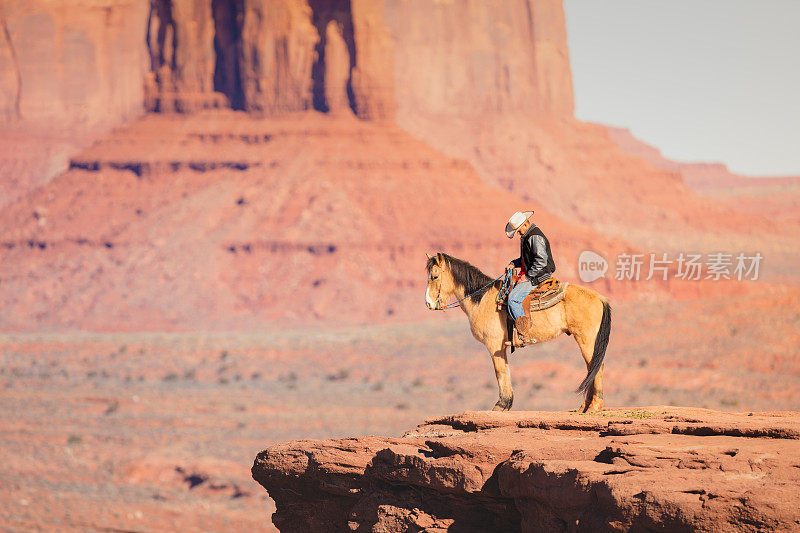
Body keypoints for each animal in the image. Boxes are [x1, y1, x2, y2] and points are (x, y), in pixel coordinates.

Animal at [428, 252, 608, 412]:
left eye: (435, 277)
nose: (429, 304)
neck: (482, 300)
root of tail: (600, 298)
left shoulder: (494, 345)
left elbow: (500, 372)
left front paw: (501, 405)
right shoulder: (501, 347)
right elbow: (505, 370)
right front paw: (507, 403)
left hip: (586, 339)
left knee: (596, 366)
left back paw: (594, 406)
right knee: (591, 367)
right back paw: (585, 406)